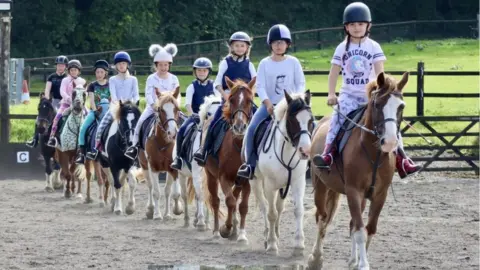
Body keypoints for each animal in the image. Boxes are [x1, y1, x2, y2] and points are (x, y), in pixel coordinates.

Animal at [138, 87, 188, 223]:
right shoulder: (153, 167)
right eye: (160, 109)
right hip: (144, 166)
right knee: (150, 186)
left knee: (167, 191)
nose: (172, 132)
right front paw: (156, 214)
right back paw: (150, 209)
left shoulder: (173, 168)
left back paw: (167, 213)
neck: (163, 142)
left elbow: (173, 193)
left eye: (177, 108)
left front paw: (176, 210)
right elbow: (156, 192)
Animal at [175, 94, 222, 230]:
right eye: (208, 114)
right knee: (185, 196)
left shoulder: (211, 177)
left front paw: (206, 222)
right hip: (182, 174)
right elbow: (201, 196)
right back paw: (187, 220)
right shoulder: (196, 175)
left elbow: (208, 196)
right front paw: (201, 222)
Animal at [204, 77, 256, 244]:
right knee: (216, 201)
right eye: (231, 100)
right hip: (211, 176)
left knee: (234, 196)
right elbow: (230, 201)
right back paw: (216, 231)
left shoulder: (245, 180)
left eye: (249, 100)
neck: (237, 145)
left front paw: (241, 234)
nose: (240, 127)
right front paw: (225, 229)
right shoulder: (223, 177)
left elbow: (242, 206)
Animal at [248, 89, 316, 255]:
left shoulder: (298, 182)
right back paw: (267, 236)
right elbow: (271, 213)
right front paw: (272, 244)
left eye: (311, 120)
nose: (305, 151)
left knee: (279, 208)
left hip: (282, 186)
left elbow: (298, 210)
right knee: (265, 207)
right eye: (292, 120)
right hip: (256, 182)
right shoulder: (270, 186)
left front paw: (299, 244)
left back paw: (277, 234)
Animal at [308, 72, 408, 270]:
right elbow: (360, 230)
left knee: (350, 223)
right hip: (321, 186)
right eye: (377, 104)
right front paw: (363, 264)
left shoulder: (379, 195)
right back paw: (316, 259)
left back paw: (352, 259)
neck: (374, 154)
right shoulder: (354, 191)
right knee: (322, 218)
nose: (390, 142)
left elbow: (369, 229)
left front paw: (358, 262)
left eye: (401, 106)